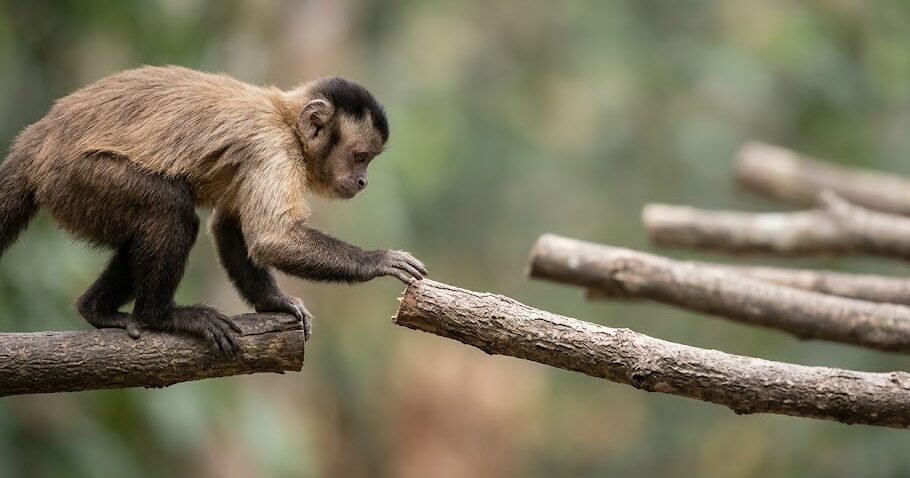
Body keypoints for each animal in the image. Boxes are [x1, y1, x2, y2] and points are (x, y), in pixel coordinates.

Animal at [0, 65, 427, 356]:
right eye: (360, 157)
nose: (363, 181)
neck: (286, 121)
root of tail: (40, 135)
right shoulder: (273, 147)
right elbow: (272, 238)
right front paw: (378, 260)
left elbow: (229, 227)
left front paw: (274, 302)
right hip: (73, 180)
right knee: (170, 207)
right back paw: (159, 316)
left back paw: (97, 309)